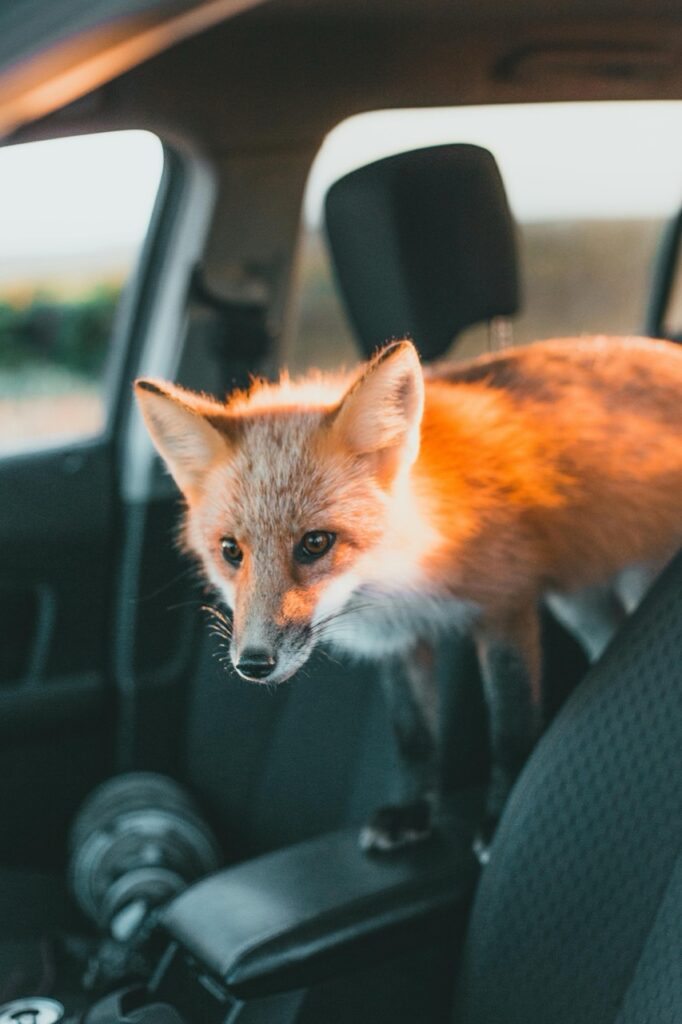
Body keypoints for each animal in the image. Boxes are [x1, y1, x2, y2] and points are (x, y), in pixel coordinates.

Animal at [135, 335, 682, 853]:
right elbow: (414, 736)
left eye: (315, 543)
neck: (404, 577)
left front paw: (498, 818)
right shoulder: (396, 640)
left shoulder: (507, 606)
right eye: (231, 551)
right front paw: (413, 815)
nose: (253, 664)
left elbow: (510, 725)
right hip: (580, 600)